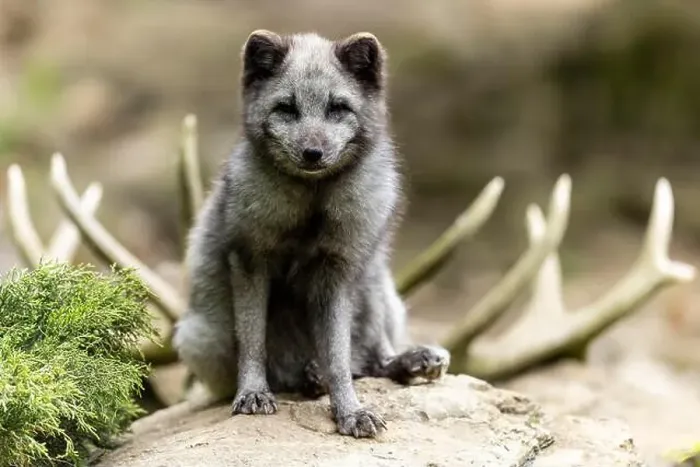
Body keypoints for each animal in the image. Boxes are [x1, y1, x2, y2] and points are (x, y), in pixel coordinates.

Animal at [172, 29, 450, 439]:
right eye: (287, 108)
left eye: (337, 108)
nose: (313, 153)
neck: (312, 204)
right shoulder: (249, 260)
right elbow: (253, 341)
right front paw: (253, 393)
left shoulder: (337, 271)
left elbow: (338, 356)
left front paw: (350, 411)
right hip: (199, 337)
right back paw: (307, 378)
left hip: (374, 279)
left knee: (370, 358)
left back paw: (407, 361)